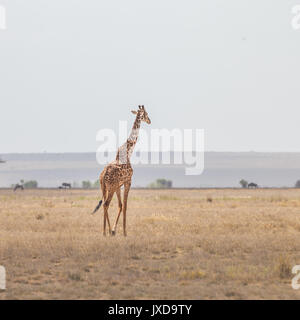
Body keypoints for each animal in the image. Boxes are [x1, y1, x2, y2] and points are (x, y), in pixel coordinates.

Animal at [91, 105, 151, 235]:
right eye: (146, 114)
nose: (149, 121)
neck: (129, 151)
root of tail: (103, 176)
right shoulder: (128, 181)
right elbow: (126, 205)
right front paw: (124, 232)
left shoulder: (119, 185)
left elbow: (120, 205)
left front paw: (114, 230)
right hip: (111, 187)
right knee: (106, 204)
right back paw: (106, 231)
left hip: (104, 187)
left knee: (105, 204)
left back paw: (106, 231)